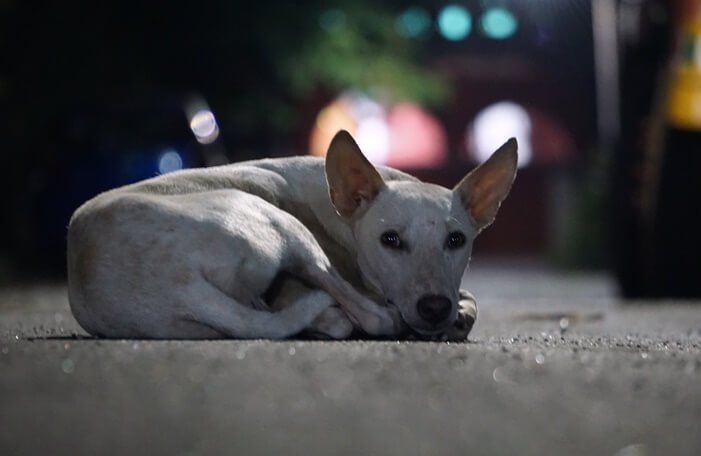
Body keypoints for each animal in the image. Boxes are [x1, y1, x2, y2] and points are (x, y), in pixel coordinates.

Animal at [65, 130, 516, 340]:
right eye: (390, 240)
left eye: (456, 241)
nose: (434, 308)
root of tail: (178, 285)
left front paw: (458, 313)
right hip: (281, 224)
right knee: (366, 314)